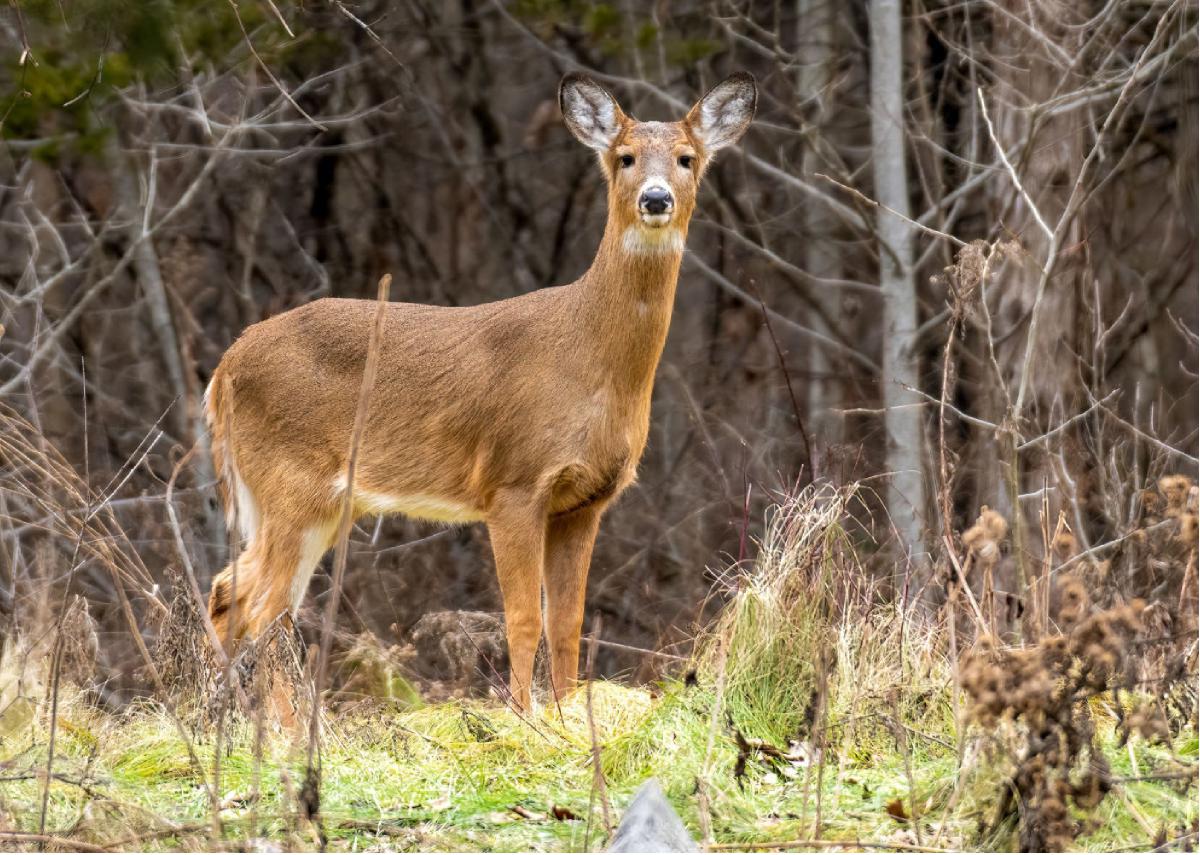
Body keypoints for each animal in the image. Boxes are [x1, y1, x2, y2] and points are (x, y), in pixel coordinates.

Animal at [201, 70, 753, 710]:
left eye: (687, 158)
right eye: (625, 157)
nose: (656, 198)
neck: (591, 359)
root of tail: (223, 369)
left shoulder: (585, 501)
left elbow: (568, 621)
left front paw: (564, 712)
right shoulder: (513, 483)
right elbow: (523, 618)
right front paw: (522, 716)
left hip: (317, 503)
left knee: (233, 594)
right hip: (290, 483)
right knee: (266, 607)